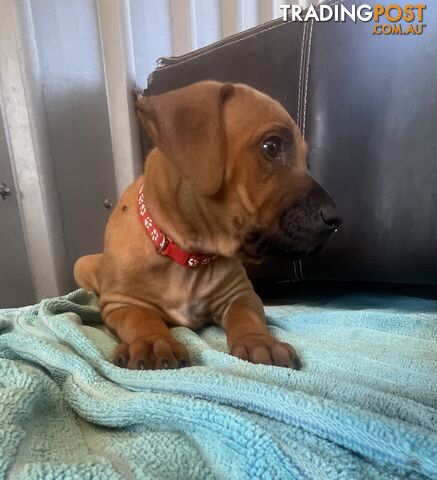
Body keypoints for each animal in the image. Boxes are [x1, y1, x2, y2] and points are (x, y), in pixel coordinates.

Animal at [74, 79, 338, 372]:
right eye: (271, 147)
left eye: (307, 162)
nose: (335, 219)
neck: (188, 253)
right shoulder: (121, 301)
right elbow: (140, 318)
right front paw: (153, 341)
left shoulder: (240, 294)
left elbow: (246, 316)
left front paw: (260, 342)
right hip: (82, 265)